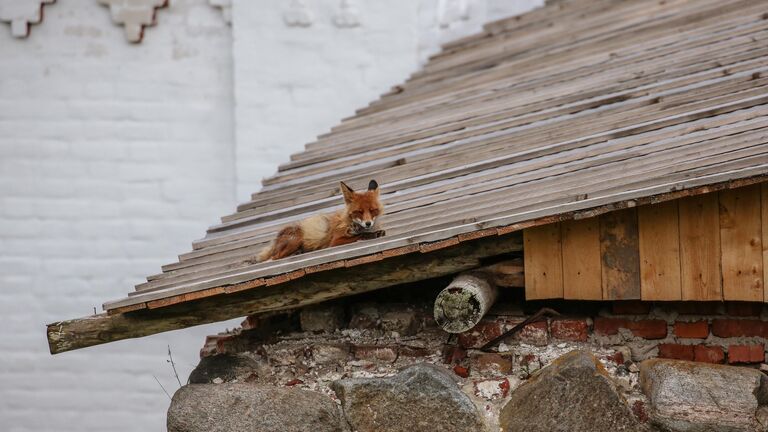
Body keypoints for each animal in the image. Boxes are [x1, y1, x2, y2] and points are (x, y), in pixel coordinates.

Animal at [256, 180, 384, 264]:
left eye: (372, 210)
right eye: (359, 212)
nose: (368, 223)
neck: (351, 223)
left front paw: (376, 232)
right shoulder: (335, 241)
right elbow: (361, 235)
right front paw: (372, 234)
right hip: (296, 239)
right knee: (274, 258)